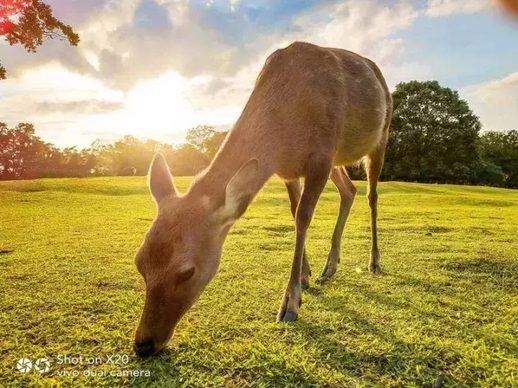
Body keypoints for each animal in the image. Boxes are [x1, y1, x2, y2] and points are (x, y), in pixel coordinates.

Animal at [134, 41, 394, 356]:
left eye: (187, 271)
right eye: (139, 261)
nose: (143, 344)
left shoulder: (321, 155)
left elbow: (303, 217)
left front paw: (290, 303)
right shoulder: (289, 171)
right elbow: (295, 213)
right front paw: (305, 276)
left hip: (380, 135)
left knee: (371, 194)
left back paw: (374, 262)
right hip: (338, 161)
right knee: (349, 191)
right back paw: (329, 267)